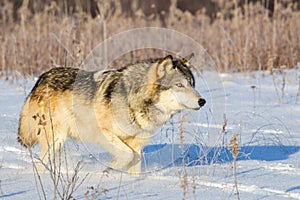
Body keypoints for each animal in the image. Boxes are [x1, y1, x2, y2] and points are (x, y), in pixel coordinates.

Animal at [17, 54, 206, 176]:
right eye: (179, 85)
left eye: (192, 84)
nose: (202, 101)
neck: (135, 101)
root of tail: (41, 78)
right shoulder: (104, 134)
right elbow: (127, 155)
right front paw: (108, 170)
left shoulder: (137, 146)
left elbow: (134, 163)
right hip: (56, 140)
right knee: (41, 163)